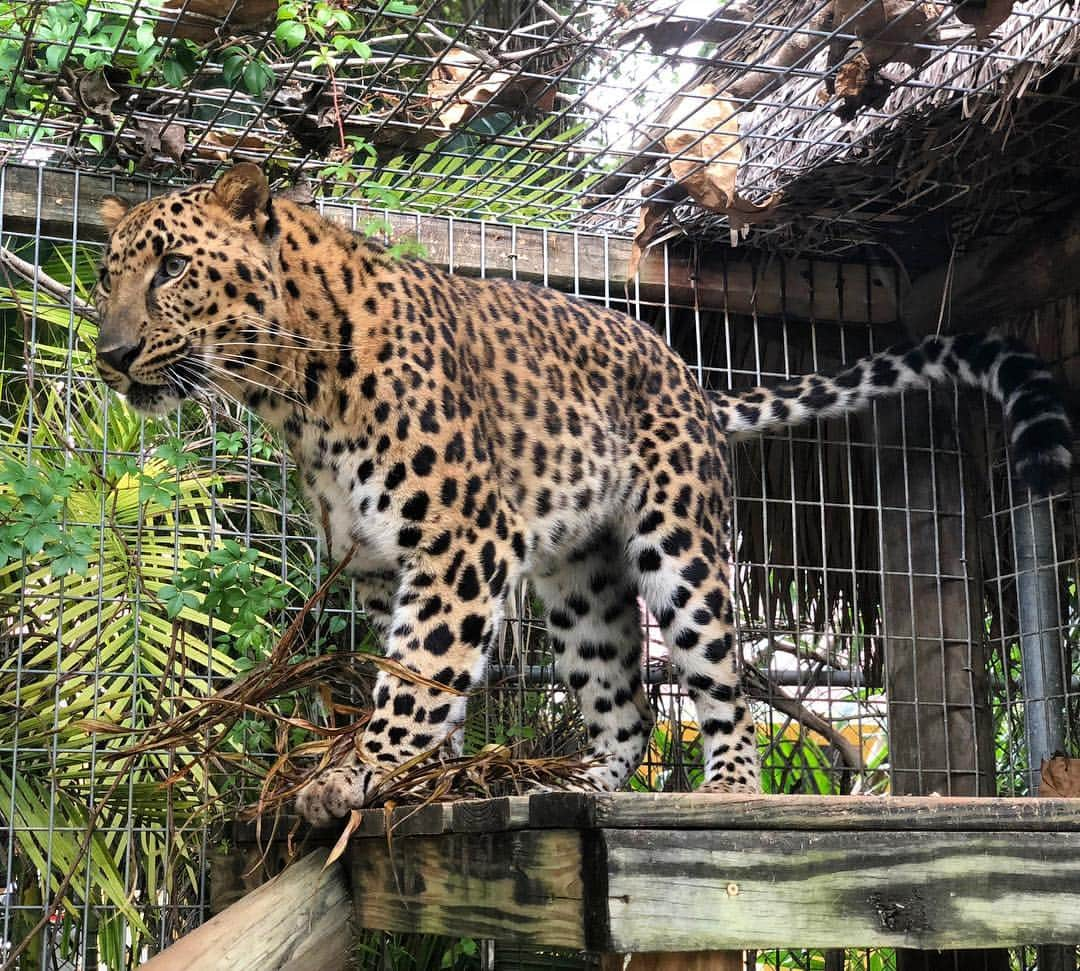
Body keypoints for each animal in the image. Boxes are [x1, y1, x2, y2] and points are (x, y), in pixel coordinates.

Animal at [92, 163, 1071, 825]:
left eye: (172, 267)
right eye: (107, 275)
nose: (108, 353)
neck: (292, 389)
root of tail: (687, 372)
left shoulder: (463, 539)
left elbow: (418, 675)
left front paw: (358, 772)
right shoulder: (377, 564)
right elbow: (420, 673)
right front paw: (427, 775)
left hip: (680, 547)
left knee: (724, 684)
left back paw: (726, 787)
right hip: (579, 581)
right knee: (627, 712)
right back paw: (571, 782)